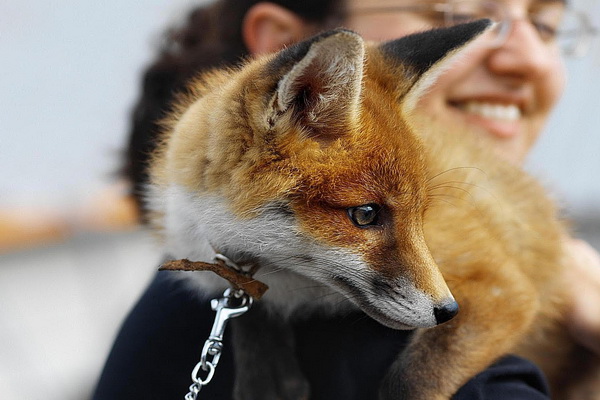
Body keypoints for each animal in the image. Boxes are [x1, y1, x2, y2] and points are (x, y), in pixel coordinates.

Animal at [149, 21, 600, 400]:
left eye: (422, 214)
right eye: (365, 214)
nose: (448, 311)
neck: (292, 283)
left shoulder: (501, 287)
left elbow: (413, 381)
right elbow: (242, 305)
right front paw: (269, 378)